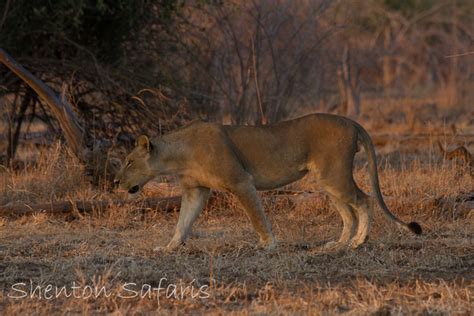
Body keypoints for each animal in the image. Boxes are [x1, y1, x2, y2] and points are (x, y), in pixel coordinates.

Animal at [115, 114, 422, 252]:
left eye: (129, 161)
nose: (116, 181)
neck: (178, 156)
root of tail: (350, 121)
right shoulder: (195, 191)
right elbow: (182, 222)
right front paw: (169, 247)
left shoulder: (240, 181)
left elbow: (256, 216)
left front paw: (268, 244)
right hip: (327, 180)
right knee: (349, 212)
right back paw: (337, 244)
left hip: (334, 176)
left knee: (365, 201)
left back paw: (359, 242)